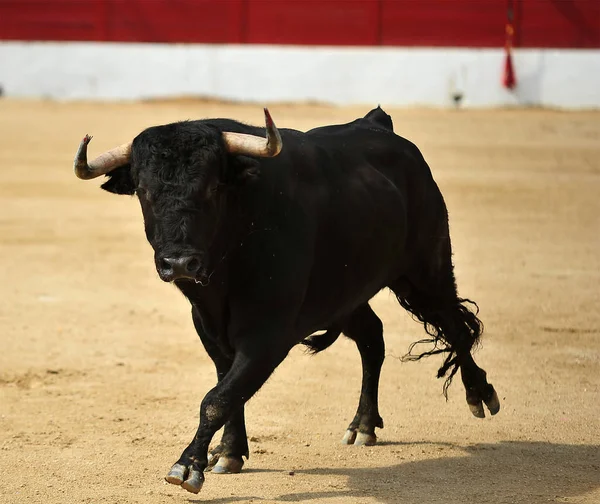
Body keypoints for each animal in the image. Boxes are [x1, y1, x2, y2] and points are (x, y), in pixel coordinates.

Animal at [72, 107, 500, 496]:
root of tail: (377, 123)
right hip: (344, 296)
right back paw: (363, 425)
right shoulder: (209, 328)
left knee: (455, 325)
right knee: (372, 338)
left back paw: (480, 394)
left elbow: (218, 397)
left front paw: (188, 465)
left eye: (211, 188)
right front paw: (228, 453)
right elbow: (228, 387)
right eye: (145, 192)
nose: (178, 263)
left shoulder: (268, 335)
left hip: (425, 271)